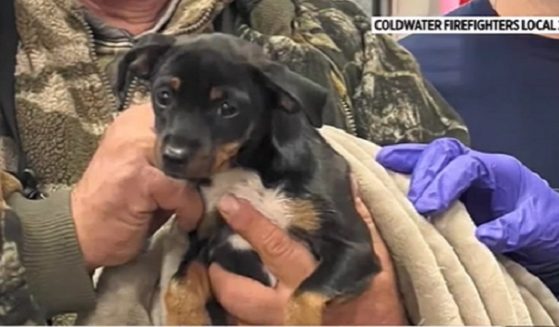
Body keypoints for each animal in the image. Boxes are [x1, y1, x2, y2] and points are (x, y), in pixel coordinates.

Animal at [117, 32, 380, 326]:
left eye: (228, 108)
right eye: (164, 96)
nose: (173, 156)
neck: (246, 172)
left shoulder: (355, 247)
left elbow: (302, 295)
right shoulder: (205, 242)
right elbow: (178, 286)